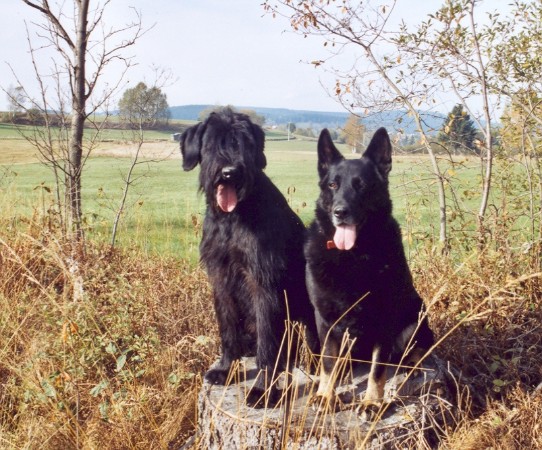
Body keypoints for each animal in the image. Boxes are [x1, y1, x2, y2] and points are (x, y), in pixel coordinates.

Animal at [181, 108, 320, 408]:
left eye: (244, 142)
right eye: (212, 142)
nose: (229, 172)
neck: (233, 218)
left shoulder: (262, 283)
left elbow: (268, 345)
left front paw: (263, 390)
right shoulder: (221, 278)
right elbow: (227, 328)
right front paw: (225, 369)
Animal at [306, 128, 438, 420]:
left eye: (361, 185)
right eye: (333, 185)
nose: (340, 212)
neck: (354, 255)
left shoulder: (384, 321)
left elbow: (378, 370)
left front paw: (372, 403)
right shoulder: (326, 319)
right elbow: (328, 362)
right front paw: (326, 395)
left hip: (416, 316)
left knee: (419, 349)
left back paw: (411, 364)